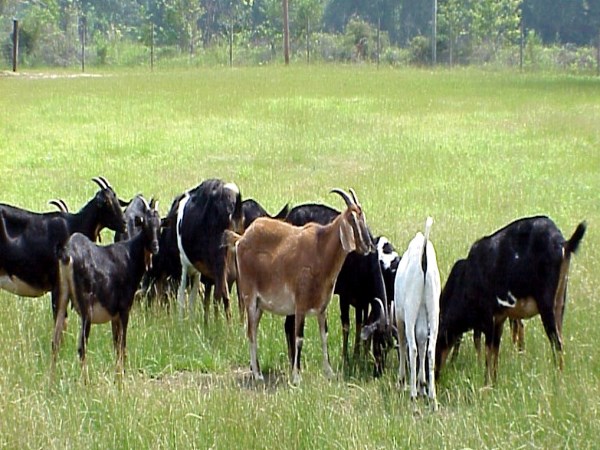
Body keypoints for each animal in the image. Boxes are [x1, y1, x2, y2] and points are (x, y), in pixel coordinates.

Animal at [51, 199, 162, 374]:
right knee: (82, 348)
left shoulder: (114, 316)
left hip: (61, 298)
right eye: (144, 225)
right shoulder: (124, 310)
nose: (155, 247)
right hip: (86, 310)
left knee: (55, 342)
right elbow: (122, 346)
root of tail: (68, 255)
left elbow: (116, 345)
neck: (130, 255)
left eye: (160, 225)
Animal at [226, 189, 376, 384]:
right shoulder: (300, 306)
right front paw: (296, 377)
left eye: (362, 216)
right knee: (251, 332)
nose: (368, 246)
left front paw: (329, 372)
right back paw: (257, 375)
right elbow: (299, 338)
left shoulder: (321, 308)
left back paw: (255, 369)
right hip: (249, 297)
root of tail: (241, 239)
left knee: (253, 331)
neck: (320, 248)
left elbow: (324, 336)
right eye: (352, 218)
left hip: (259, 305)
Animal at [436, 216, 584, 384]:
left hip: (547, 306)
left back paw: (557, 382)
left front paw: (486, 384)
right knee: (559, 339)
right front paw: (494, 383)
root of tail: (563, 243)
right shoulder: (499, 319)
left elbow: (486, 351)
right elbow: (494, 352)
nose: (436, 375)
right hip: (559, 304)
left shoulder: (488, 318)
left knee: (556, 342)